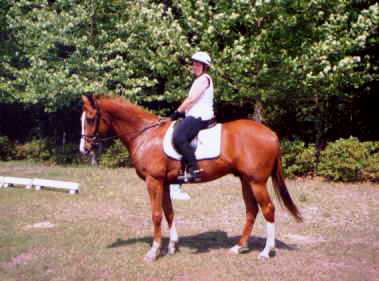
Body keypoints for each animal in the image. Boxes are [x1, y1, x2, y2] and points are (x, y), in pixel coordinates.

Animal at [80, 93, 302, 260]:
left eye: (90, 118)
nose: (84, 149)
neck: (146, 135)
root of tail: (271, 134)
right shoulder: (165, 183)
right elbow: (169, 212)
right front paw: (172, 247)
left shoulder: (154, 181)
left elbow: (156, 214)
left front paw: (154, 251)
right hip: (245, 180)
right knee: (251, 210)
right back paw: (239, 247)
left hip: (257, 182)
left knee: (268, 209)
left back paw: (266, 251)